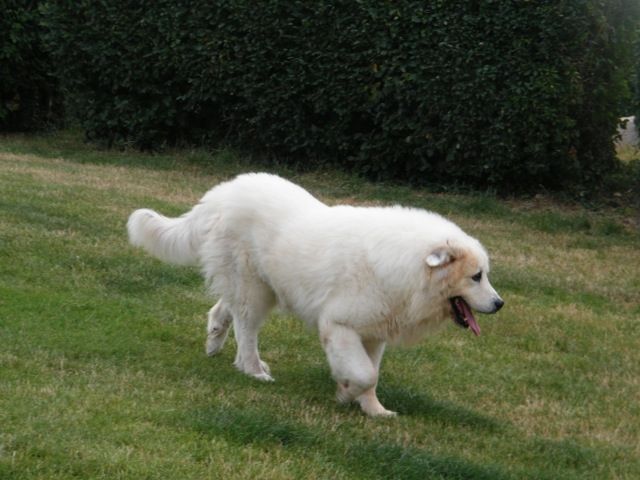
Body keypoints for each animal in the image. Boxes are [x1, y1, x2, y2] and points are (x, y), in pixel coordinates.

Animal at [127, 172, 502, 416]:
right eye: (476, 276)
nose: (500, 303)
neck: (409, 267)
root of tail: (220, 194)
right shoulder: (339, 326)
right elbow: (365, 373)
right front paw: (346, 390)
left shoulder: (373, 334)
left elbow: (372, 375)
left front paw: (374, 409)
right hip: (254, 289)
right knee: (246, 330)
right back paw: (253, 370)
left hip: (259, 287)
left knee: (224, 310)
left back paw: (215, 343)